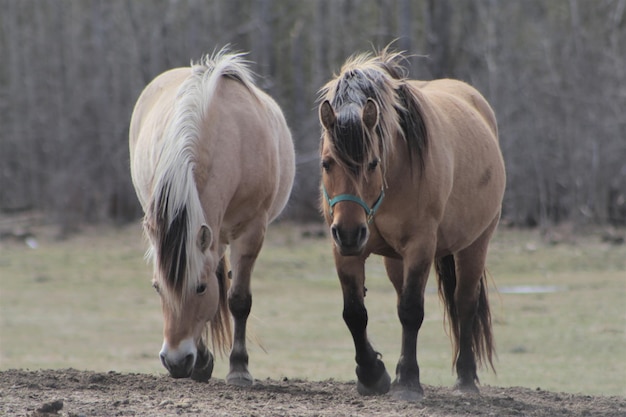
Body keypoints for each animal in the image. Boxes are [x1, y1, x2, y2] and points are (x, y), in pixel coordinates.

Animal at [129, 48, 294, 384]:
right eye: (156, 288)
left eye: (201, 287)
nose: (175, 362)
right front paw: (202, 362)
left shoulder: (251, 232)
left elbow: (238, 300)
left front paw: (239, 369)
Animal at [320, 48, 504, 400]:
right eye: (327, 163)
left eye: (372, 163)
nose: (349, 233)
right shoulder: (344, 252)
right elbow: (355, 313)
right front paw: (372, 375)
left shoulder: (420, 246)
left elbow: (411, 310)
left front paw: (407, 380)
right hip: (394, 260)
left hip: (476, 244)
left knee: (464, 303)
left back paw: (466, 377)